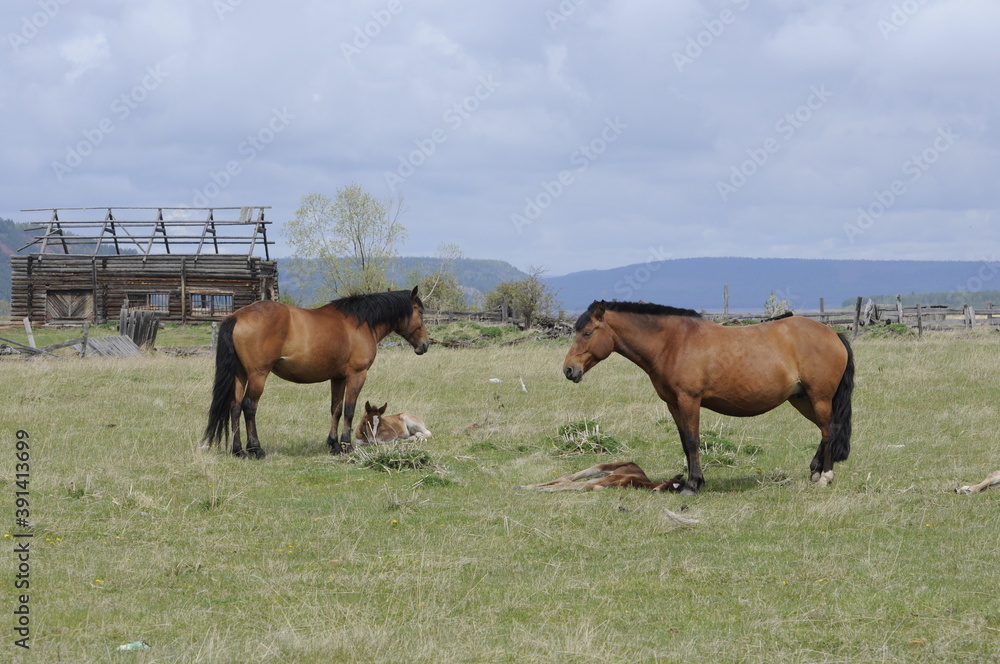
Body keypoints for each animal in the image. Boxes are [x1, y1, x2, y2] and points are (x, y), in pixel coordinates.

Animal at [203, 287, 430, 458]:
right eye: (420, 312)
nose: (425, 345)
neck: (361, 322)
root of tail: (237, 316)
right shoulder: (357, 375)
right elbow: (349, 410)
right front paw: (346, 445)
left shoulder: (337, 378)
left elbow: (335, 410)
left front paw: (334, 444)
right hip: (258, 375)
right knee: (249, 407)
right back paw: (256, 449)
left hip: (240, 375)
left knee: (234, 407)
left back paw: (238, 450)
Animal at [562, 300, 854, 495]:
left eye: (587, 332)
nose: (569, 370)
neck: (673, 342)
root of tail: (833, 333)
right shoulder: (673, 403)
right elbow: (684, 442)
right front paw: (693, 480)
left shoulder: (689, 400)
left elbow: (693, 441)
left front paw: (692, 485)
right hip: (802, 399)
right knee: (825, 430)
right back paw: (815, 470)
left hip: (819, 397)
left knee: (829, 430)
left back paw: (825, 476)